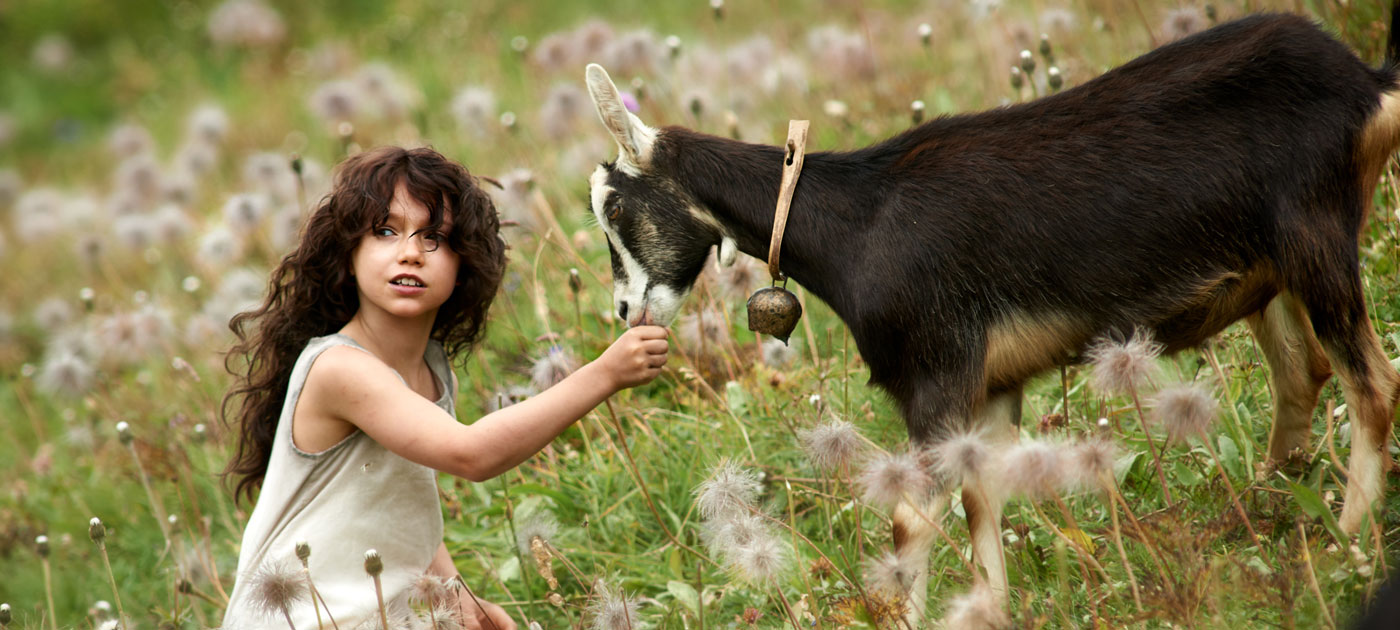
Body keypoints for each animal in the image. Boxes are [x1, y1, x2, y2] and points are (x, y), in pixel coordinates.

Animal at [582, 8, 1400, 618]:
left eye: (614, 207)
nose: (624, 310)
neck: (858, 222)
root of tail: (1365, 82)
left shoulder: (936, 374)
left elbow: (910, 521)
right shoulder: (991, 388)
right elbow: (983, 509)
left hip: (1317, 243)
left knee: (1373, 385)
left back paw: (1345, 549)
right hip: (1273, 275)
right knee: (1303, 377)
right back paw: (1269, 524)